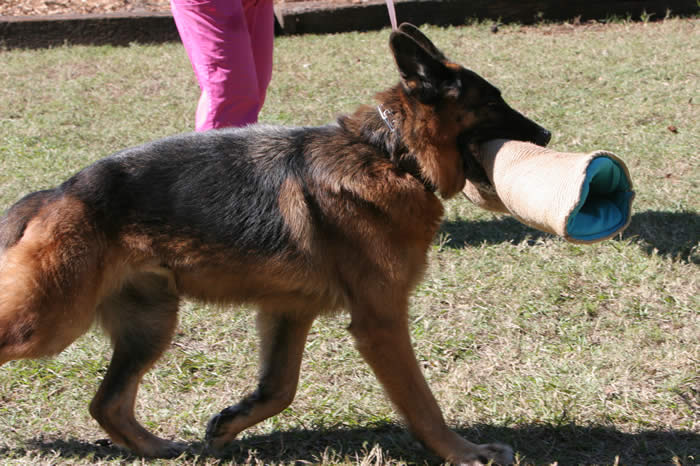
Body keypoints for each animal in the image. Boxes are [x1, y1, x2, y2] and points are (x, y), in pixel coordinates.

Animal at [0, 26, 548, 466]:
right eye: (493, 102)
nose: (545, 135)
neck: (390, 154)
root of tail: (57, 192)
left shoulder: (289, 310)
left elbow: (280, 388)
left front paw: (227, 425)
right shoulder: (381, 323)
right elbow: (421, 402)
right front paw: (465, 452)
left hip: (149, 324)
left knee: (107, 403)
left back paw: (158, 448)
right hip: (50, 322)